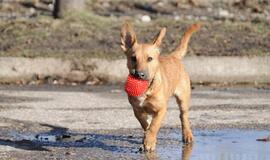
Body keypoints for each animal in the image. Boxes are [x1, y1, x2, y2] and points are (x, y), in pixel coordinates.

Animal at [120, 22, 200, 151]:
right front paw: (147, 138)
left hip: (183, 98)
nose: (138, 74)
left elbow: (154, 125)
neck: (147, 88)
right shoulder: (137, 109)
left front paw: (149, 142)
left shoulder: (161, 110)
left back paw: (187, 134)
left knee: (183, 116)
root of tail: (173, 56)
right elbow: (145, 124)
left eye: (150, 59)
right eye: (133, 58)